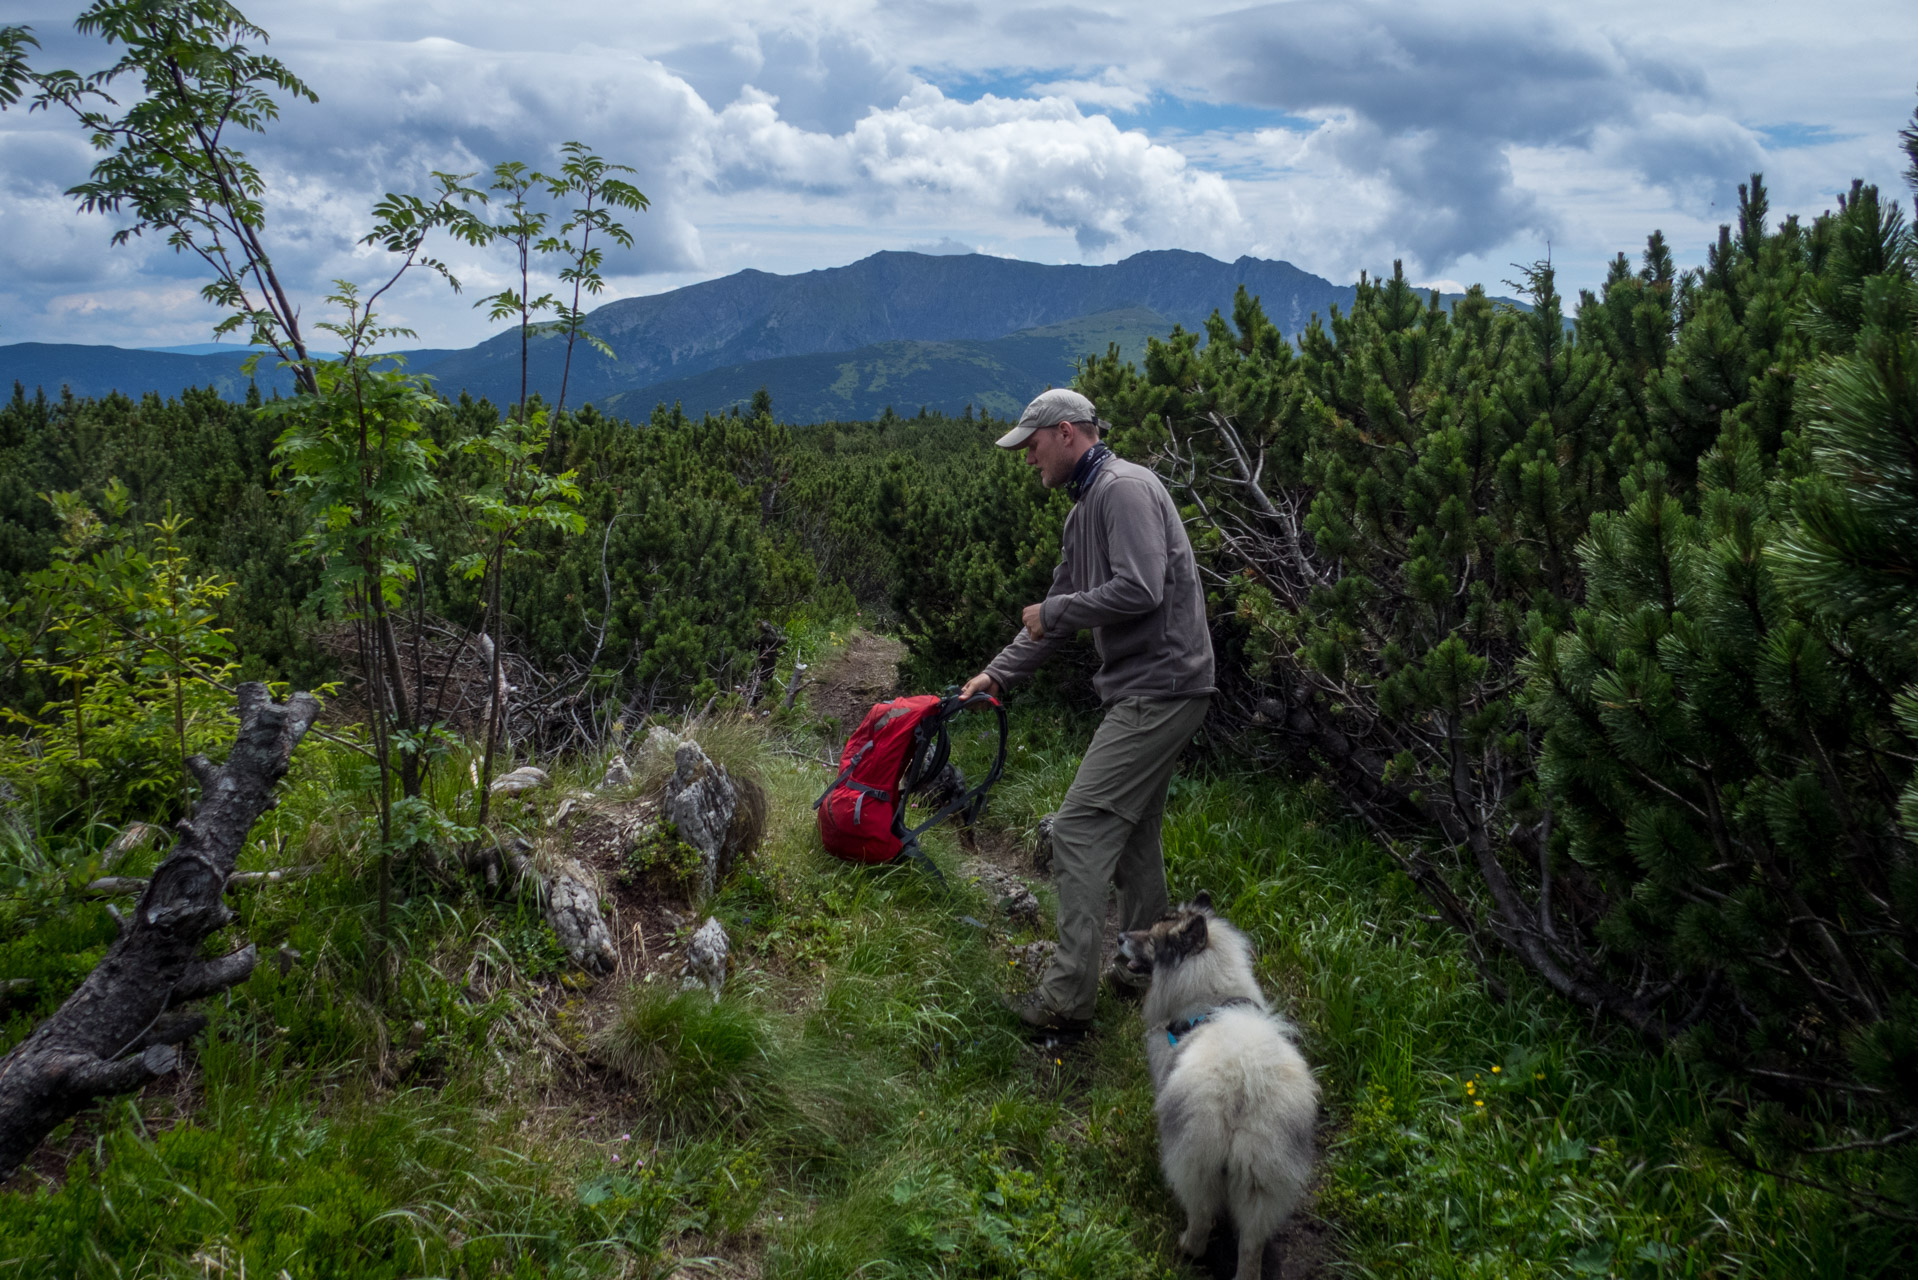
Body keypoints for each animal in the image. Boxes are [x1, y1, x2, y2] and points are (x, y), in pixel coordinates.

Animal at [1112, 890, 1319, 1280]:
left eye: (1151, 939)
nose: (1119, 938)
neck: (1209, 1000)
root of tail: (1244, 1086)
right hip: (1261, 1181)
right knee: (1251, 1244)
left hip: (1194, 1160)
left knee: (1201, 1218)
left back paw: (1186, 1247)